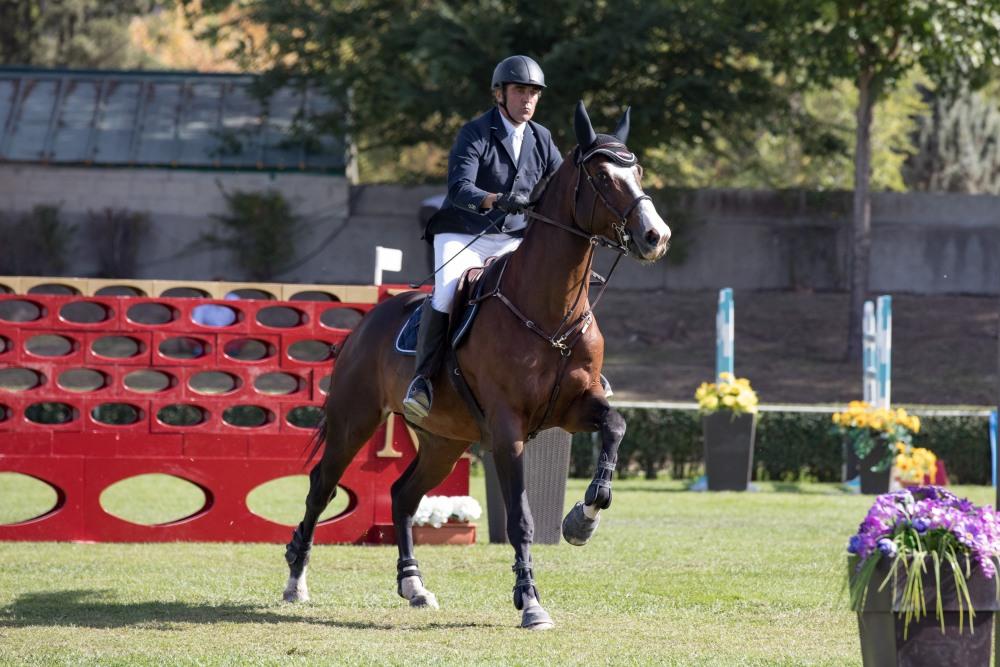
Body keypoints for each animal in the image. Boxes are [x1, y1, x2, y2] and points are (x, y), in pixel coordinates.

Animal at [282, 100, 672, 632]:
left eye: (638, 171)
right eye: (601, 176)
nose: (656, 237)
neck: (550, 311)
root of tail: (368, 321)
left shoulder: (575, 408)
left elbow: (616, 425)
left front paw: (583, 519)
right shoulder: (507, 428)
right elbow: (520, 518)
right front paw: (530, 601)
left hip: (444, 441)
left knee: (403, 495)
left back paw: (414, 585)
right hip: (354, 420)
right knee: (321, 488)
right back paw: (295, 581)